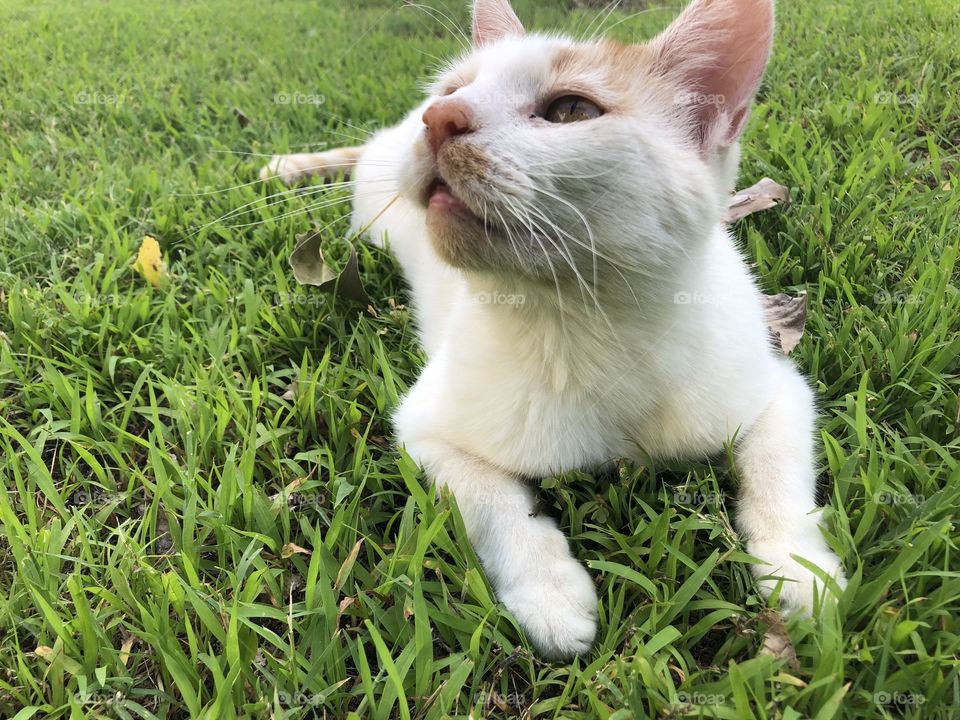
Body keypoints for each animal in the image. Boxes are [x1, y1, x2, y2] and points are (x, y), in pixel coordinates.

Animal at [262, 0, 848, 660]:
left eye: (571, 110)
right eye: (454, 91)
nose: (438, 116)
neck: (591, 327)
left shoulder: (776, 389)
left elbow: (778, 476)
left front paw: (800, 571)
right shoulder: (425, 427)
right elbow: (488, 499)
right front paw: (550, 594)